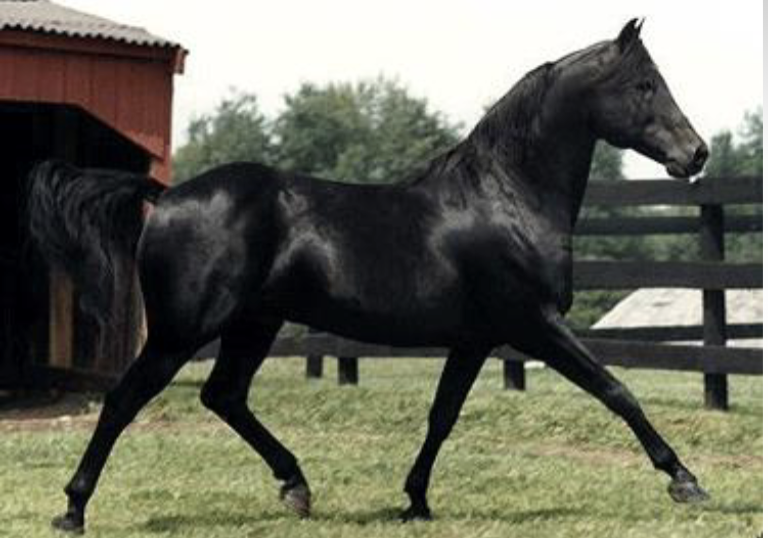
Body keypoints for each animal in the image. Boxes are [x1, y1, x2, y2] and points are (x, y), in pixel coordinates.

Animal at [28, 19, 710, 533]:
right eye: (645, 84)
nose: (696, 153)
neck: (505, 198)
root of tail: (165, 195)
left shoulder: (476, 340)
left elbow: (442, 415)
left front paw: (416, 500)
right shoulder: (534, 325)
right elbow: (616, 389)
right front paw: (685, 480)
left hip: (254, 324)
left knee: (223, 396)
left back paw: (296, 486)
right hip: (181, 332)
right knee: (124, 400)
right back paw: (73, 509)